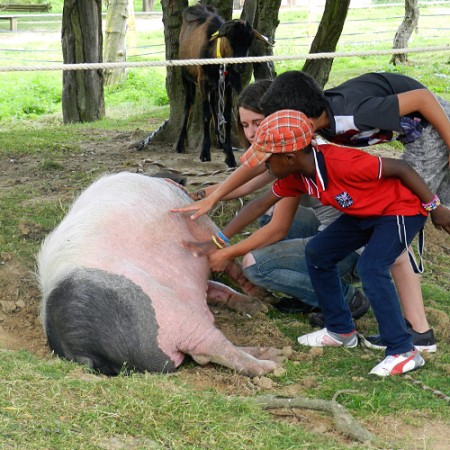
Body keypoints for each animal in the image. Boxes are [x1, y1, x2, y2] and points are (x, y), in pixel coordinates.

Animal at [38, 172, 284, 376]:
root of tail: (81, 350)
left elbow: (219, 288)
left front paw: (263, 305)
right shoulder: (201, 223)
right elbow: (229, 261)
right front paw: (265, 299)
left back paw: (274, 345)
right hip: (174, 315)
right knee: (212, 348)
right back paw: (274, 365)